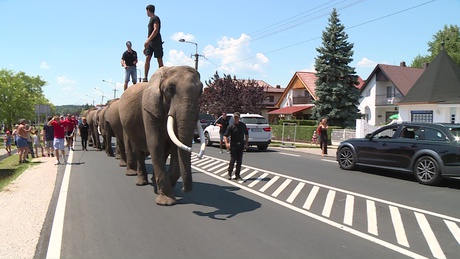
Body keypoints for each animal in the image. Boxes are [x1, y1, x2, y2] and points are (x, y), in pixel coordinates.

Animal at [118, 66, 205, 207]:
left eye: (201, 91)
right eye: (170, 89)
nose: (184, 189)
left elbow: (175, 146)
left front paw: (166, 187)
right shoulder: (148, 109)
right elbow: (155, 144)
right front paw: (166, 202)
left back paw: (154, 181)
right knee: (138, 150)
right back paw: (141, 182)